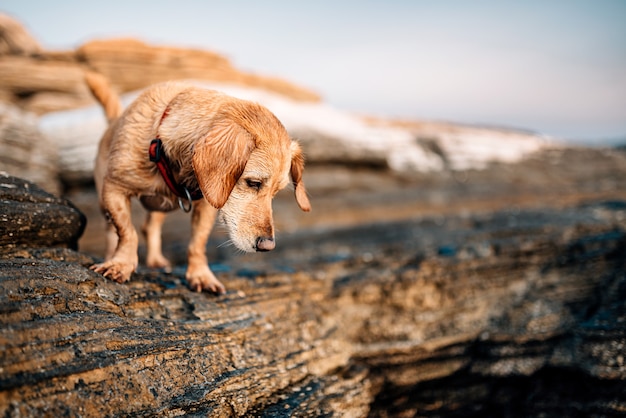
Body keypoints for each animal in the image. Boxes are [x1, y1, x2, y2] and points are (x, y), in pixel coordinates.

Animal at [85, 72, 310, 294]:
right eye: (253, 182)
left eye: (276, 193)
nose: (267, 246)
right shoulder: (114, 189)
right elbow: (126, 231)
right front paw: (121, 264)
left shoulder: (207, 205)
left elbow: (197, 243)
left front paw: (200, 275)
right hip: (104, 201)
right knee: (112, 230)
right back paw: (111, 256)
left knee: (150, 226)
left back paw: (156, 259)